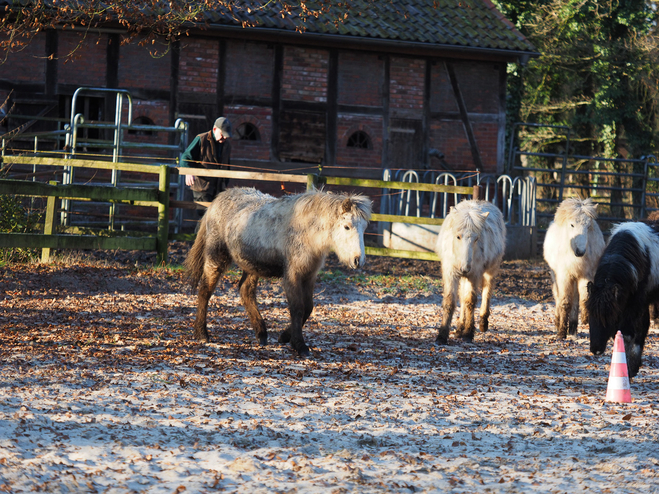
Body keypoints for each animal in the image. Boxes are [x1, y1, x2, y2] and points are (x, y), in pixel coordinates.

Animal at [184, 186, 372, 356]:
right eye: (347, 227)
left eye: (364, 228)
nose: (358, 261)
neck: (307, 231)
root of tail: (216, 202)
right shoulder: (293, 275)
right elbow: (297, 308)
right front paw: (299, 345)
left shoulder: (309, 275)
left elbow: (308, 307)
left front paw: (285, 337)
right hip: (216, 257)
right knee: (205, 291)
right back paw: (202, 333)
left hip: (252, 265)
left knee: (245, 291)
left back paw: (261, 333)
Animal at [544, 197, 604, 340]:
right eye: (572, 225)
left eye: (588, 226)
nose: (580, 251)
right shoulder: (564, 277)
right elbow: (565, 302)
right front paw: (561, 333)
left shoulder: (586, 275)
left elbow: (584, 299)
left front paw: (585, 319)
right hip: (556, 276)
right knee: (558, 297)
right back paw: (559, 323)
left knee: (576, 300)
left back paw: (573, 329)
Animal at [588, 222, 659, 376]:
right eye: (590, 314)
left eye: (609, 317)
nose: (596, 349)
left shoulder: (636, 304)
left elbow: (628, 335)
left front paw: (628, 370)